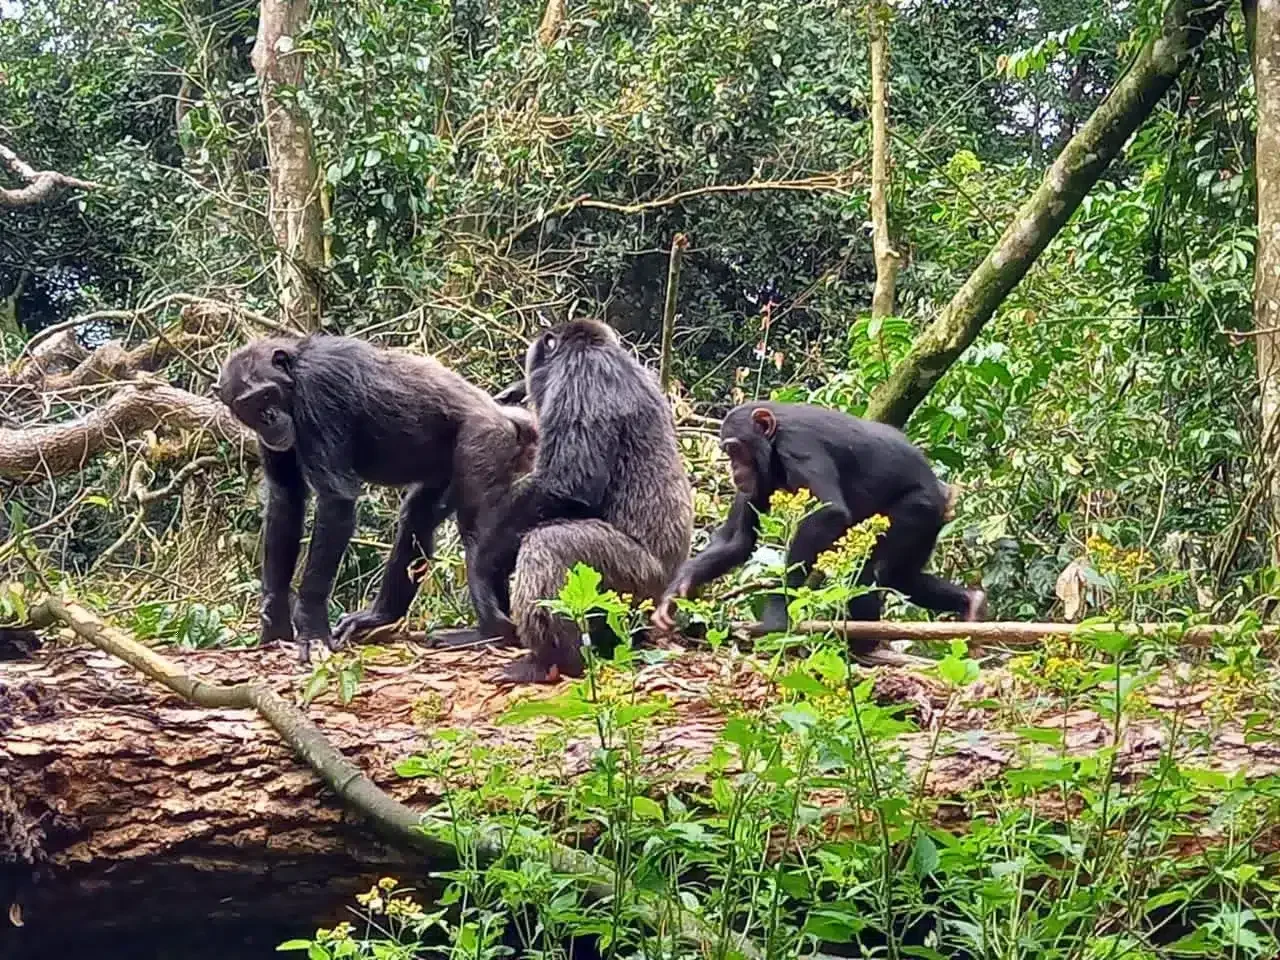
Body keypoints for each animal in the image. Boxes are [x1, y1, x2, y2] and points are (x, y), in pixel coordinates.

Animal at [214, 334, 537, 661]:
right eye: (250, 404)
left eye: (268, 395)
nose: (268, 418)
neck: (294, 379)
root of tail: (507, 417)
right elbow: (286, 498)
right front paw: (275, 622)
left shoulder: (319, 389)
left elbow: (335, 501)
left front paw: (311, 629)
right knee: (417, 518)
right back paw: (379, 617)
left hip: (484, 443)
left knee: (476, 532)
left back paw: (491, 632)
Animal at [468, 319, 694, 684]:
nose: (519, 386)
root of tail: (666, 594)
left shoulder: (579, 379)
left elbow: (566, 484)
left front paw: (483, 567)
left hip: (632, 581)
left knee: (549, 546)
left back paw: (548, 662)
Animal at [653, 402, 986, 636]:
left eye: (735, 450)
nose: (734, 470)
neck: (773, 444)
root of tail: (945, 494)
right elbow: (738, 541)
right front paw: (676, 593)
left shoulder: (799, 446)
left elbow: (829, 512)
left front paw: (778, 611)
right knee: (900, 575)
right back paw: (972, 605)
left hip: (918, 508)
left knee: (874, 569)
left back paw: (866, 644)